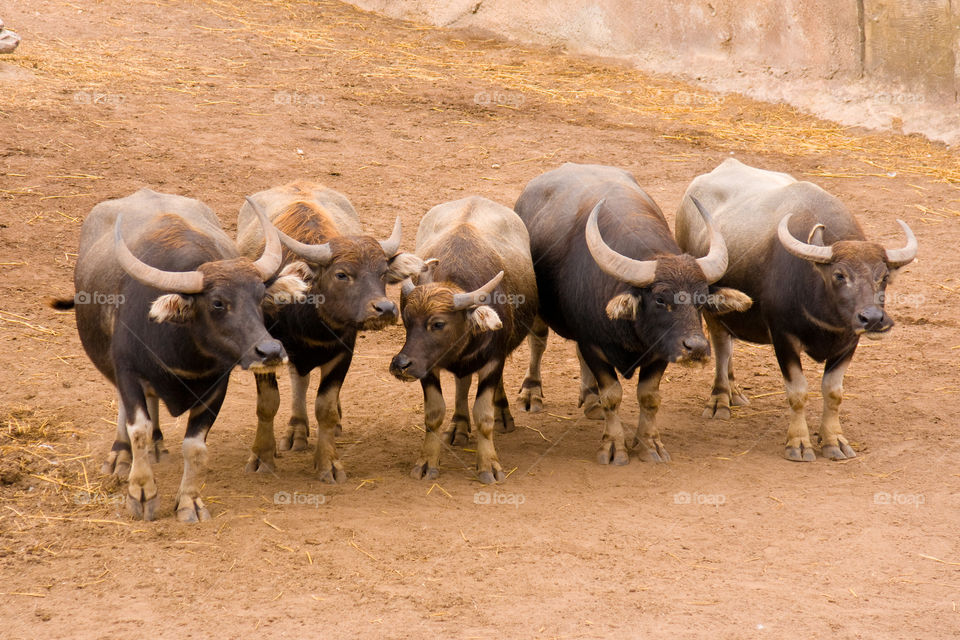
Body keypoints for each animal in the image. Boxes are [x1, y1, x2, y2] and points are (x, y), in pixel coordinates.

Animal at [50, 188, 306, 522]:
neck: (181, 349)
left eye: (261, 297)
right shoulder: (127, 370)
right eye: (217, 303)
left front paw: (189, 501)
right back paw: (120, 454)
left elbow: (194, 447)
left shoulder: (216, 385)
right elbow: (139, 429)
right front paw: (141, 493)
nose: (271, 350)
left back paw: (158, 444)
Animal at [236, 181, 424, 483]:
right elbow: (267, 403)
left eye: (383, 273)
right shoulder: (262, 350)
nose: (385, 309)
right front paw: (262, 456)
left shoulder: (343, 353)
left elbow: (325, 408)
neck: (308, 318)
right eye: (342, 274)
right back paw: (296, 430)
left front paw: (328, 463)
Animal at [389, 196, 538, 484]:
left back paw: (503, 414)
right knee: (462, 382)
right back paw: (458, 424)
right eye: (407, 320)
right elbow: (434, 413)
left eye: (438, 324)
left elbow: (484, 415)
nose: (400, 365)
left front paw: (488, 464)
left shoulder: (494, 360)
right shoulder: (427, 366)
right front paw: (427, 461)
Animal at [514, 163, 750, 465]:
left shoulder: (660, 350)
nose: (696, 348)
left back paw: (589, 398)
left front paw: (650, 445)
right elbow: (612, 395)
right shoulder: (593, 344)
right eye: (660, 299)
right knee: (538, 341)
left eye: (700, 300)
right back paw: (531, 393)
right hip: (538, 308)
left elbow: (649, 397)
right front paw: (614, 447)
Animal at [675, 158, 917, 461]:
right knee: (721, 345)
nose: (873, 318)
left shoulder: (849, 343)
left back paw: (734, 390)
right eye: (839, 275)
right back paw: (720, 399)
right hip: (710, 305)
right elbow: (798, 392)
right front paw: (799, 443)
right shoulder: (783, 338)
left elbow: (833, 392)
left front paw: (834, 440)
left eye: (883, 277)